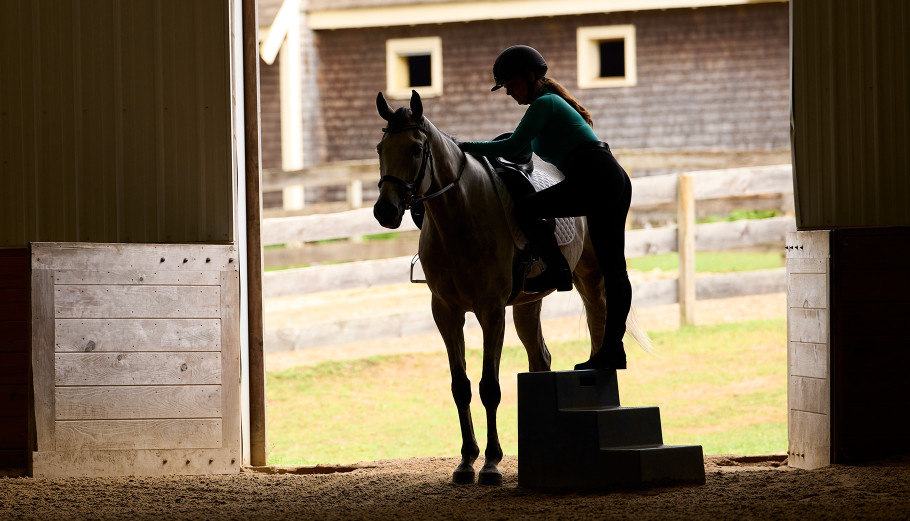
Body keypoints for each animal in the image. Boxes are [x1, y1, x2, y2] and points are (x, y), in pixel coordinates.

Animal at [374, 91, 652, 486]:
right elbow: (460, 387)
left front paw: (490, 464)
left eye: (415, 149)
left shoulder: (491, 311)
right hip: (526, 303)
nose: (385, 210)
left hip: (591, 276)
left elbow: (489, 387)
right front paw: (466, 461)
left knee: (600, 322)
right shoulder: (446, 312)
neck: (459, 216)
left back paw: (600, 368)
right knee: (540, 359)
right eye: (380, 147)